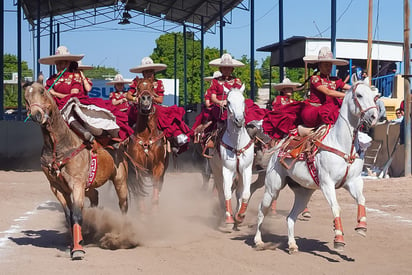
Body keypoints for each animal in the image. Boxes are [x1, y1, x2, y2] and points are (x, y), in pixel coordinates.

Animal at [23, 82, 129, 260]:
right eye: (26, 97)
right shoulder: (57, 188)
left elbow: (78, 215)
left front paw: (78, 249)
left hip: (120, 181)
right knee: (95, 197)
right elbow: (70, 216)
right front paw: (74, 243)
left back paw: (121, 234)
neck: (59, 147)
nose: (36, 115)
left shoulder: (77, 184)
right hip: (90, 186)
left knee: (123, 205)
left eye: (42, 91)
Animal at [125, 80, 167, 213]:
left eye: (152, 86)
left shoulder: (159, 167)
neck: (146, 137)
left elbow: (155, 191)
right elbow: (140, 192)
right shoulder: (138, 167)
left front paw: (154, 211)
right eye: (137, 87)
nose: (146, 98)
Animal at [211, 85, 256, 232]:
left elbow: (245, 193)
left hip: (240, 174)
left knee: (239, 192)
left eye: (243, 100)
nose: (239, 120)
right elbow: (226, 193)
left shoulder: (246, 169)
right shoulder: (227, 170)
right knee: (221, 192)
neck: (237, 144)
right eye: (228, 102)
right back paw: (225, 216)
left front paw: (240, 216)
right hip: (216, 171)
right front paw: (229, 220)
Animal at [254, 78, 380, 253]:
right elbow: (336, 207)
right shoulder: (327, 184)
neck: (341, 144)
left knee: (291, 217)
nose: (374, 117)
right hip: (273, 187)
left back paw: (292, 244)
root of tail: (279, 147)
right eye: (360, 95)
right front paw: (338, 239)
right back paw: (258, 241)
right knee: (262, 210)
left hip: (303, 193)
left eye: (375, 96)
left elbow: (361, 199)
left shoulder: (353, 182)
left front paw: (361, 225)